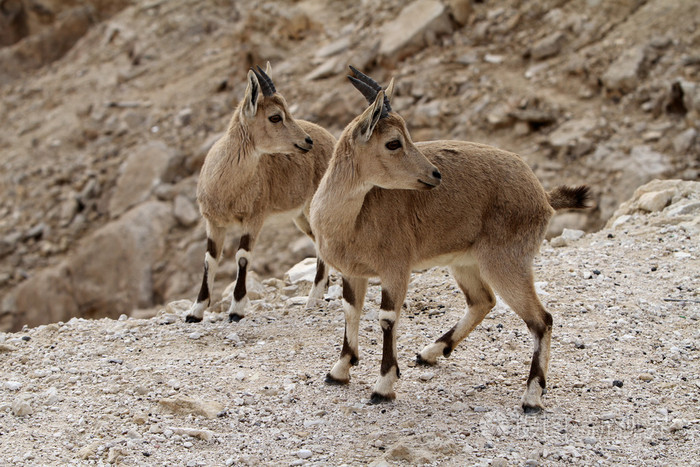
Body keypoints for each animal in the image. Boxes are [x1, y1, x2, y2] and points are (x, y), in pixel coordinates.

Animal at [187, 64, 334, 324]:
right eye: (275, 117)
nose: (307, 141)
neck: (227, 188)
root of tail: (332, 139)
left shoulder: (254, 218)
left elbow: (242, 256)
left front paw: (236, 309)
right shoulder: (213, 222)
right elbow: (210, 259)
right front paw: (195, 311)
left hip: (314, 208)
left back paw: (313, 298)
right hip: (301, 217)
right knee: (320, 244)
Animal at [308, 66, 588, 414]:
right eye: (393, 142)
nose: (434, 174)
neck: (351, 220)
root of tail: (543, 196)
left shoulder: (396, 269)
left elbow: (387, 318)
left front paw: (384, 386)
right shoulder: (352, 272)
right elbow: (350, 311)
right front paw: (339, 370)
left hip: (507, 260)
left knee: (541, 319)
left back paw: (532, 396)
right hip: (466, 262)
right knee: (482, 300)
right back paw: (430, 352)